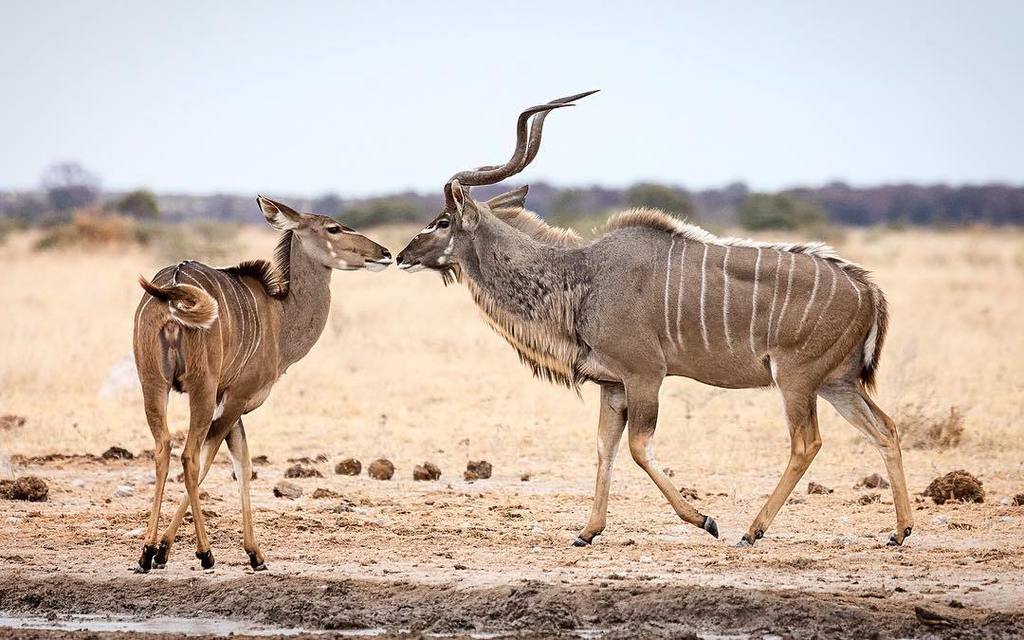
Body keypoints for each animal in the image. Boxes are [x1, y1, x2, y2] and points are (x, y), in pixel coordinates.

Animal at [134, 195, 389, 569]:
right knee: (189, 456)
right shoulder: (236, 397)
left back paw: (145, 553)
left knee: (162, 448)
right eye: (333, 228)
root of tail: (172, 293)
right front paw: (185, 550)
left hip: (152, 383)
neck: (279, 318)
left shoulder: (231, 403)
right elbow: (216, 460)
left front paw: (253, 553)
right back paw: (202, 553)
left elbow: (244, 463)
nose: (384, 253)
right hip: (200, 387)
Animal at [395, 92, 917, 544]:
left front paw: (705, 520)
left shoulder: (645, 375)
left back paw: (752, 531)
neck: (580, 277)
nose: (401, 256)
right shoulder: (612, 384)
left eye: (443, 221)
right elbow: (604, 447)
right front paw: (587, 532)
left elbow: (637, 447)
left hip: (796, 379)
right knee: (886, 429)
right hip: (836, 383)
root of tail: (869, 289)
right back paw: (900, 531)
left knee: (806, 443)